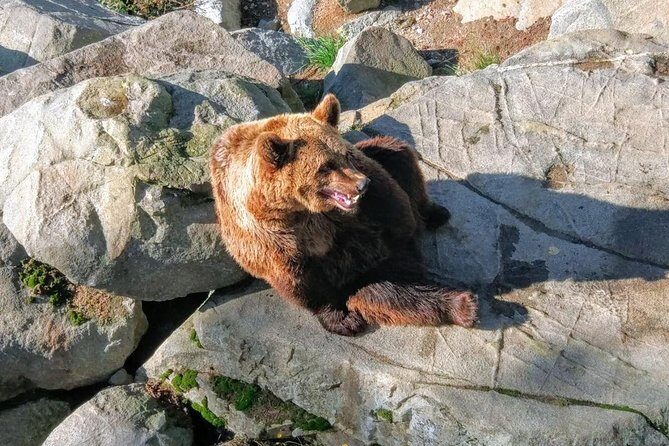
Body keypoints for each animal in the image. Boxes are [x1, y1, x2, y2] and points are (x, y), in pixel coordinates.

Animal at [209, 94, 477, 336]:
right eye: (325, 166)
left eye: (344, 154)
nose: (361, 185)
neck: (298, 209)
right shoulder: (269, 239)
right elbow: (301, 285)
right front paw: (342, 321)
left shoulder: (365, 188)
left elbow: (391, 203)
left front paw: (405, 226)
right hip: (362, 279)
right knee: (393, 295)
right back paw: (460, 305)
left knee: (397, 154)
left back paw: (435, 216)